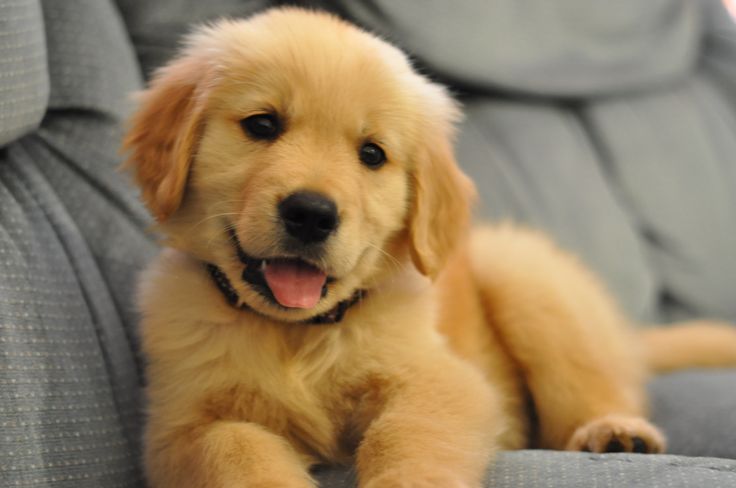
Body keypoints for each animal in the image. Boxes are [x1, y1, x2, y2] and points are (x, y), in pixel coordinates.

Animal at [123, 7, 736, 488]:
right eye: (262, 124)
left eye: (372, 154)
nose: (312, 214)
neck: (296, 335)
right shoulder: (182, 426)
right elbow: (233, 451)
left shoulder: (441, 380)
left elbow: (406, 434)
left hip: (524, 277)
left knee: (594, 389)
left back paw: (614, 432)